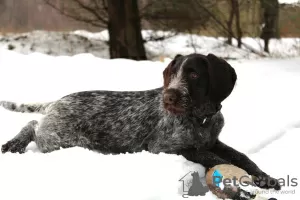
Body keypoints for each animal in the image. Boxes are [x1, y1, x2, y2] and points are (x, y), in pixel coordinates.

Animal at [1, 53, 280, 191]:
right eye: (171, 73)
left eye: (193, 74)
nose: (168, 96)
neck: (200, 118)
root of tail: (58, 101)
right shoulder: (165, 147)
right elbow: (213, 157)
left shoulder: (214, 140)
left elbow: (242, 157)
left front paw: (265, 177)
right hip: (59, 139)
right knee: (33, 125)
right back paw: (14, 144)